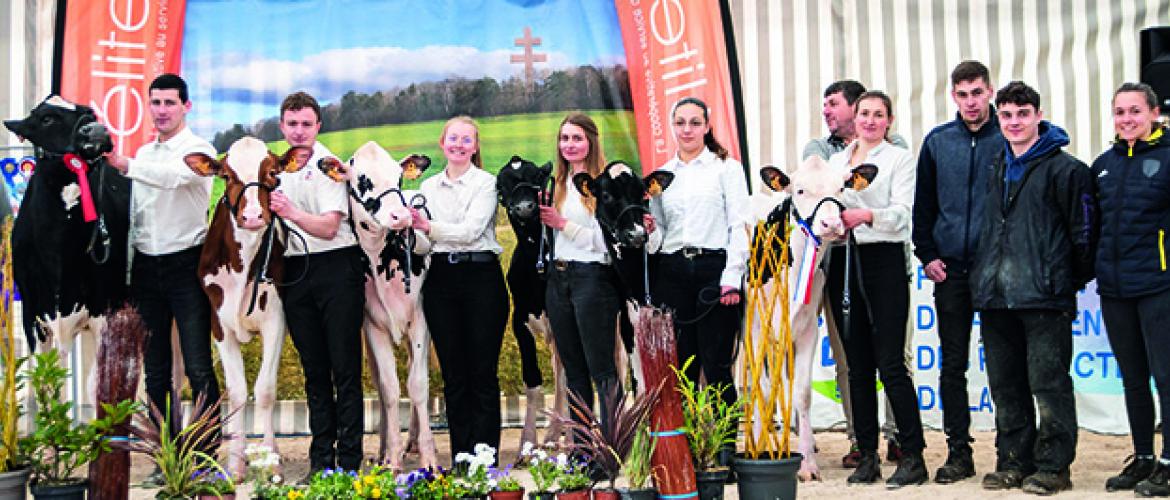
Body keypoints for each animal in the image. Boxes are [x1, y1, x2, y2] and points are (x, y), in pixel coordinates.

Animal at [182, 137, 311, 477]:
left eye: (273, 172)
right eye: (226, 176)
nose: (252, 217)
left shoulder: (276, 321)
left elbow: (264, 390)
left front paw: (270, 460)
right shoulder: (219, 326)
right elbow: (238, 392)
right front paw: (236, 464)